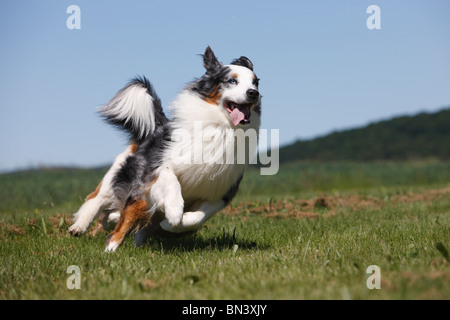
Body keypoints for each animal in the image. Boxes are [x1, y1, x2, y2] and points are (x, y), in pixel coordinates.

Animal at [68, 47, 262, 252]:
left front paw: (171, 223)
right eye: (232, 81)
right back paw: (90, 234)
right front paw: (175, 211)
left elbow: (198, 217)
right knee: (100, 200)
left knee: (124, 219)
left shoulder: (220, 193)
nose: (253, 93)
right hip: (121, 175)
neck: (222, 127)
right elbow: (170, 179)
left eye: (255, 82)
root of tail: (156, 126)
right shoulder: (154, 169)